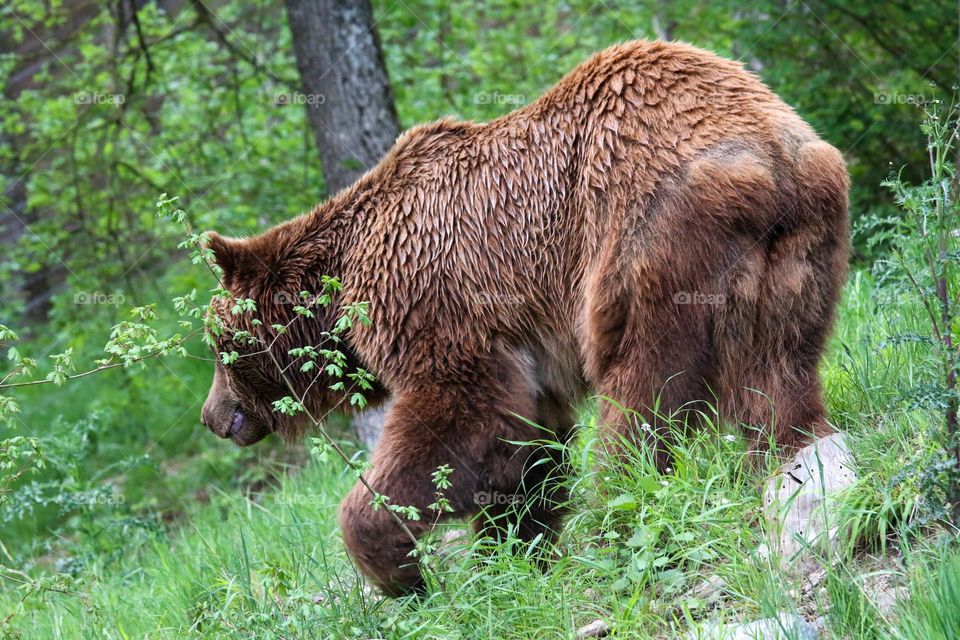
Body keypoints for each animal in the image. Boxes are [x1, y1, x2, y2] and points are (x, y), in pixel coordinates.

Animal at [199, 40, 851, 595]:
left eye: (215, 348)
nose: (213, 416)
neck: (342, 291)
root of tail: (764, 158)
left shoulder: (434, 301)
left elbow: (463, 419)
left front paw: (398, 564)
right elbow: (525, 449)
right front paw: (511, 556)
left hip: (647, 239)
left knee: (641, 393)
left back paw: (618, 514)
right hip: (798, 252)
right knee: (777, 371)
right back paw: (792, 455)